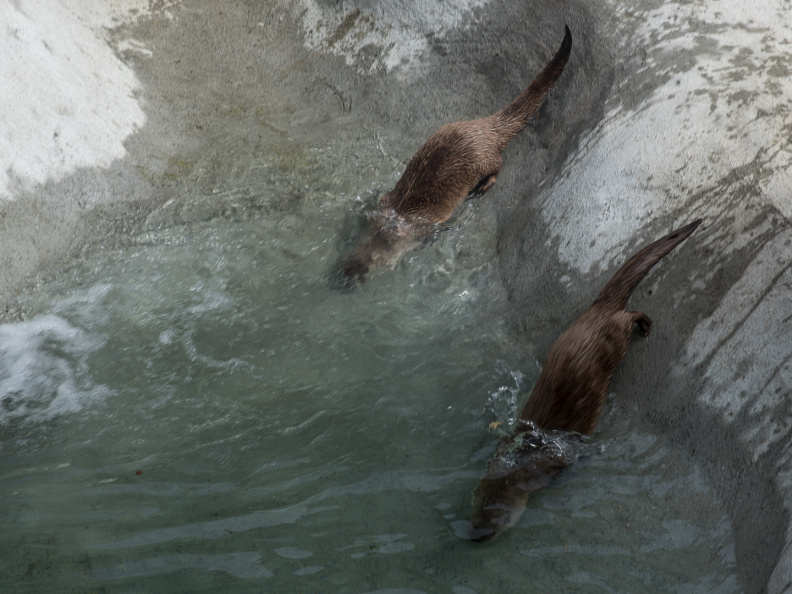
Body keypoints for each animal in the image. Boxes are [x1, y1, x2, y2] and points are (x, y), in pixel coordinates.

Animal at [342, 25, 573, 283]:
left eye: (367, 270)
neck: (404, 218)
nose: (346, 275)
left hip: (484, 159)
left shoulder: (427, 226)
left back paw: (481, 188)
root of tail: (486, 129)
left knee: (498, 164)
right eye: (350, 257)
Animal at [470, 219, 703, 542]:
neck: (524, 462)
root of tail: (596, 311)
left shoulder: (555, 461)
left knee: (628, 315)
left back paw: (645, 325)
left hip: (616, 337)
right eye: (473, 513)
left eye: (493, 527)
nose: (475, 537)